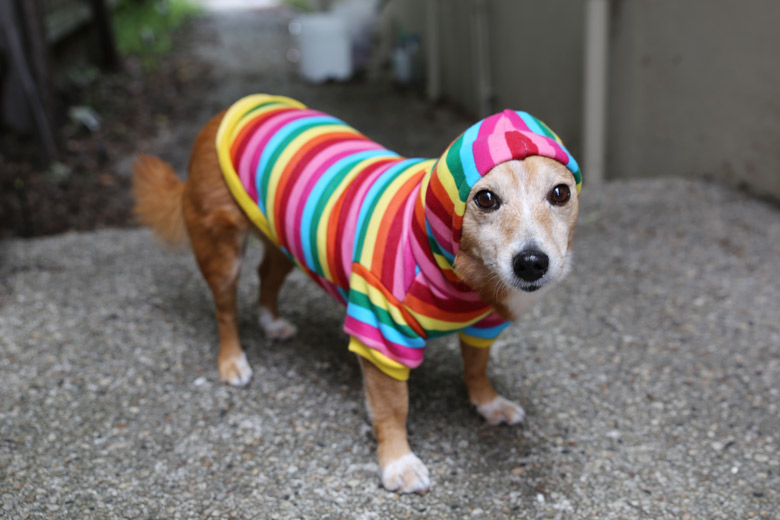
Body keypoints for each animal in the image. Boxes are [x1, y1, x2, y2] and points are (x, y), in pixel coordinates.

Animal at [133, 94, 580, 496]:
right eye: (485, 198)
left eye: (561, 193)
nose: (532, 262)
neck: (462, 276)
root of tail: (225, 112)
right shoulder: (381, 337)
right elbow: (393, 407)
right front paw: (398, 462)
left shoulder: (485, 325)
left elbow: (476, 367)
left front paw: (487, 402)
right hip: (222, 253)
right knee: (224, 310)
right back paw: (232, 362)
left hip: (285, 240)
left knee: (267, 276)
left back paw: (271, 322)